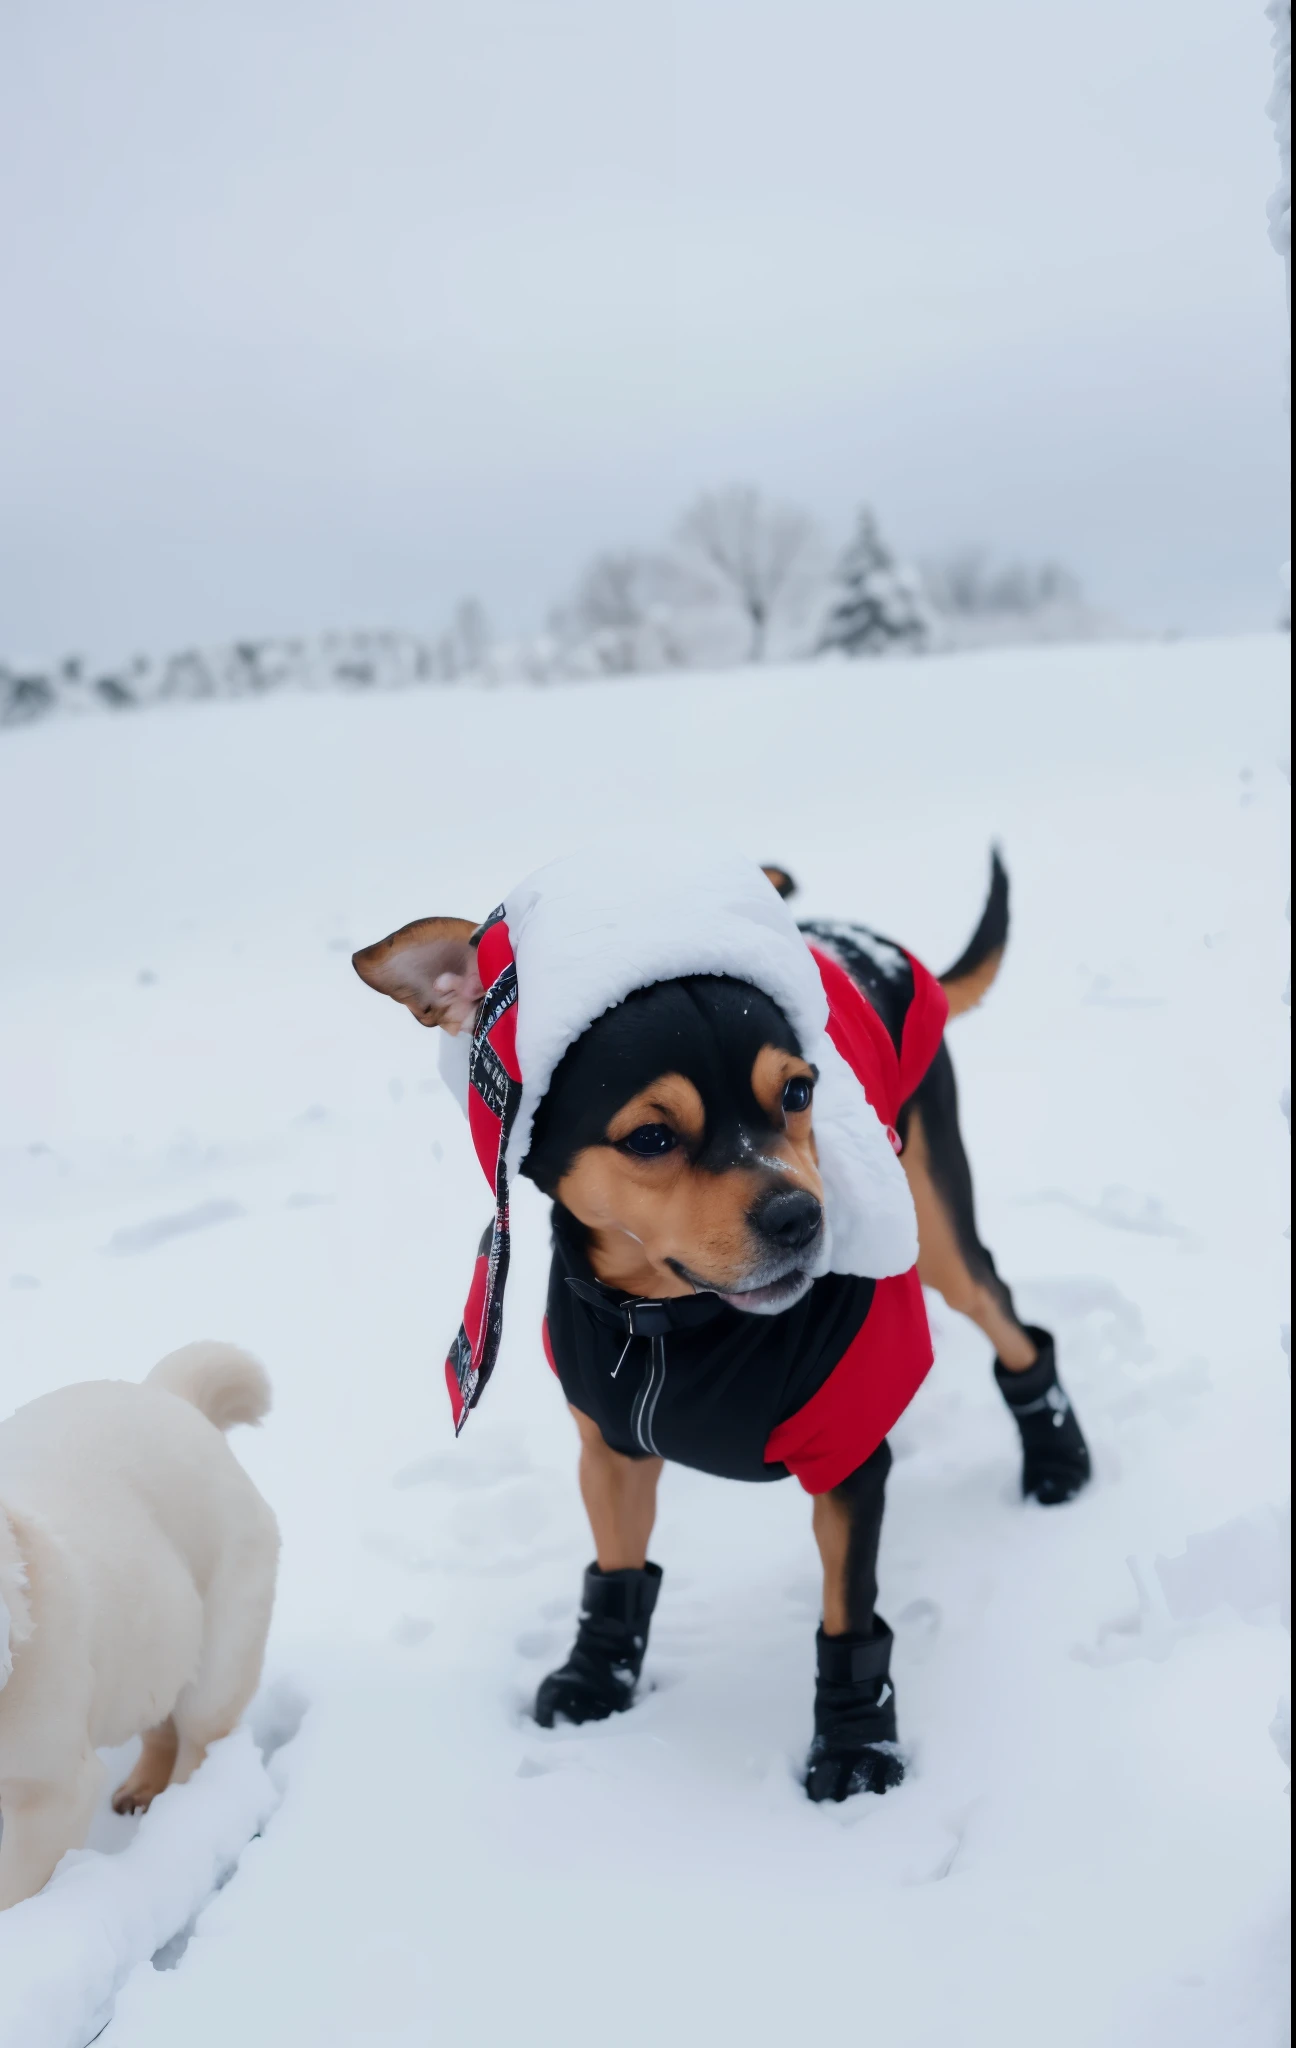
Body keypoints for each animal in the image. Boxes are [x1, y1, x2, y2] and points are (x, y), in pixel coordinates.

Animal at [0, 1343, 278, 1900]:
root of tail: (175, 1399)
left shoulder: (47, 1790)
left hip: (225, 1614)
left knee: (201, 1730)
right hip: (152, 1635)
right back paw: (142, 1788)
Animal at [352, 856, 1081, 1802]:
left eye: (799, 1092)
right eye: (650, 1137)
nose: (802, 1218)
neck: (671, 1323)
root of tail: (869, 940)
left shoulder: (847, 1451)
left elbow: (848, 1612)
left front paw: (855, 1745)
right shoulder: (610, 1443)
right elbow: (618, 1570)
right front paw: (596, 1677)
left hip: (938, 1222)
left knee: (1008, 1317)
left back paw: (1057, 1456)